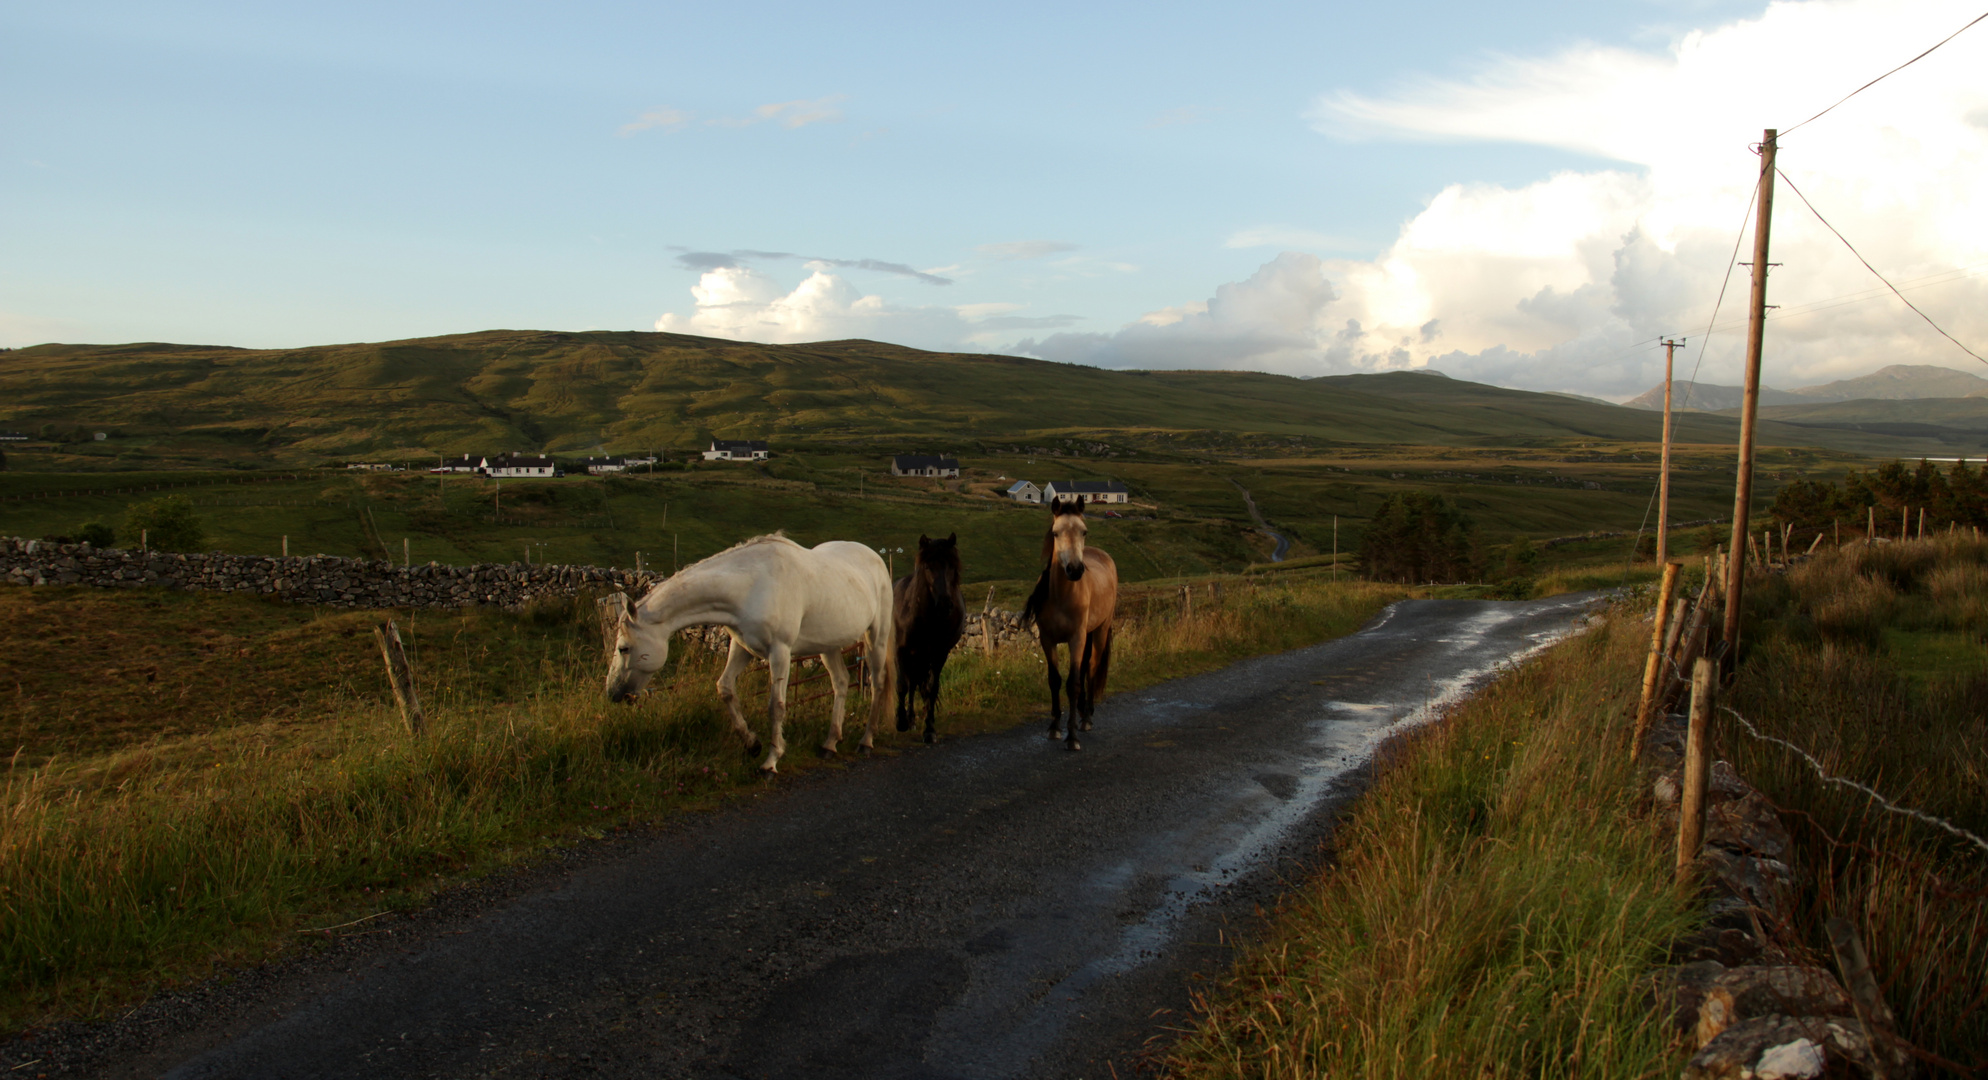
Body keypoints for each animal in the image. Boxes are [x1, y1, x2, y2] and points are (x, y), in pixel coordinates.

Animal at [596, 533, 894, 771]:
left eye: (624, 648)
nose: (613, 692)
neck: (751, 585)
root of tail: (876, 559)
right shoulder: (742, 648)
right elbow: (725, 688)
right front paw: (752, 744)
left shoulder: (780, 652)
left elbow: (776, 705)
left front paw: (771, 761)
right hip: (828, 645)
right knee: (841, 682)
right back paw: (830, 744)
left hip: (876, 636)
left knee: (877, 683)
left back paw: (866, 741)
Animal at [898, 533, 966, 743]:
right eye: (928, 567)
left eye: (952, 566)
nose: (945, 604)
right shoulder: (901, 649)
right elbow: (902, 685)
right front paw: (900, 722)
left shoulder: (939, 654)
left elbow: (931, 689)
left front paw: (929, 729)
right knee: (911, 683)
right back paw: (908, 719)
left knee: (918, 684)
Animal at [1025, 499, 1121, 751]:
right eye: (1055, 533)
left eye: (1084, 531)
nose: (1076, 570)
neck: (1061, 596)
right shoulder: (1047, 640)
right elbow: (1054, 680)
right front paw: (1055, 727)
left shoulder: (1076, 639)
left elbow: (1073, 683)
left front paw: (1072, 737)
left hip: (1099, 631)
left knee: (1092, 668)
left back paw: (1086, 718)